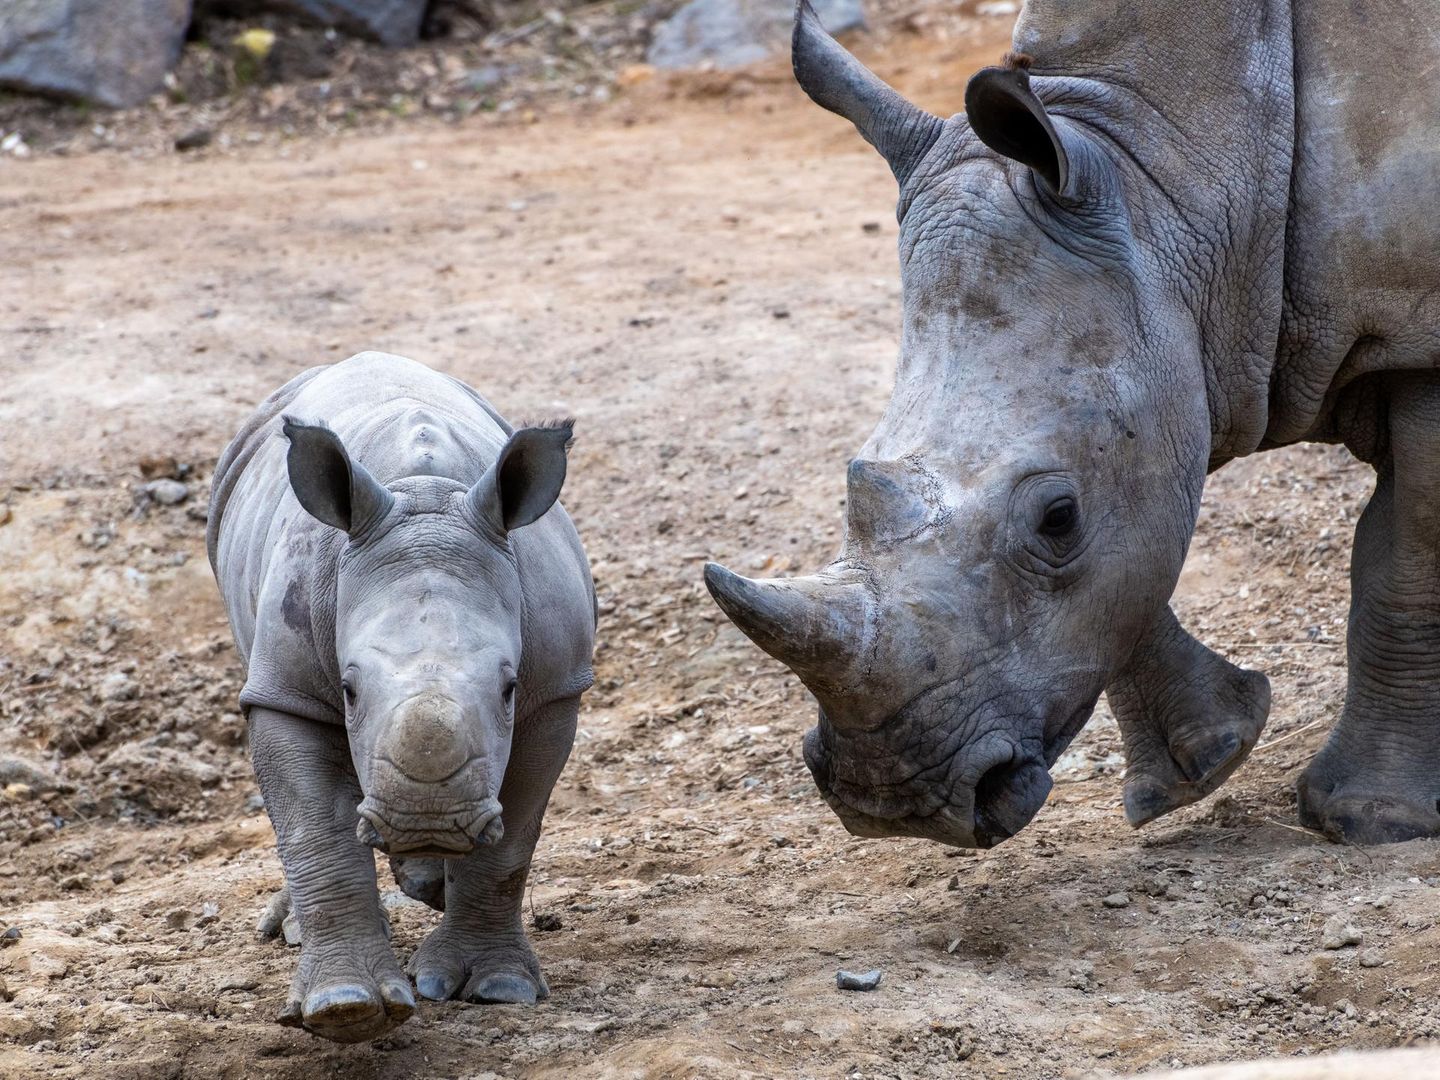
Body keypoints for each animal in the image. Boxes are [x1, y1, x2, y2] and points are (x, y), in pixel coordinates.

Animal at [208, 357, 596, 1048]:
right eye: (348, 689)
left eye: (509, 688)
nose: (427, 821)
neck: (427, 494)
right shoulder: (287, 691)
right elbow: (314, 828)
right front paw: (343, 1010)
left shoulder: (556, 690)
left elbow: (514, 840)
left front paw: (494, 989)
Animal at [705, 0, 1440, 852]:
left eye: (1058, 518)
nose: (891, 802)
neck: (1177, 167)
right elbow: (1129, 564)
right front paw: (1201, 768)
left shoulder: (1420, 333)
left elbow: (1406, 561)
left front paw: (1372, 822)